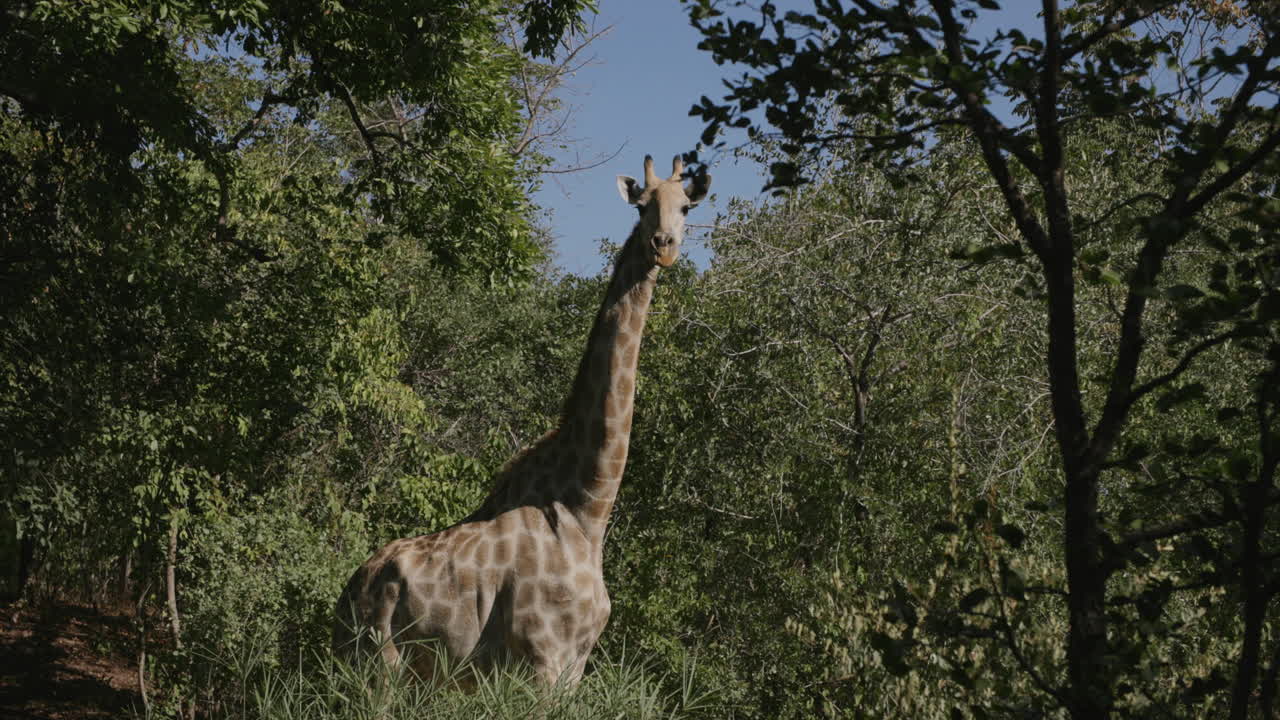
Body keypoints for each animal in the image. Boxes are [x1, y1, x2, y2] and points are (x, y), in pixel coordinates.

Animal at [333, 154, 711, 688]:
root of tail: (347, 592)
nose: (664, 247)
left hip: (407, 670)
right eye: (641, 207)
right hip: (375, 665)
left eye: (686, 207)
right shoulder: (541, 660)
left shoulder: (575, 664)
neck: (586, 510)